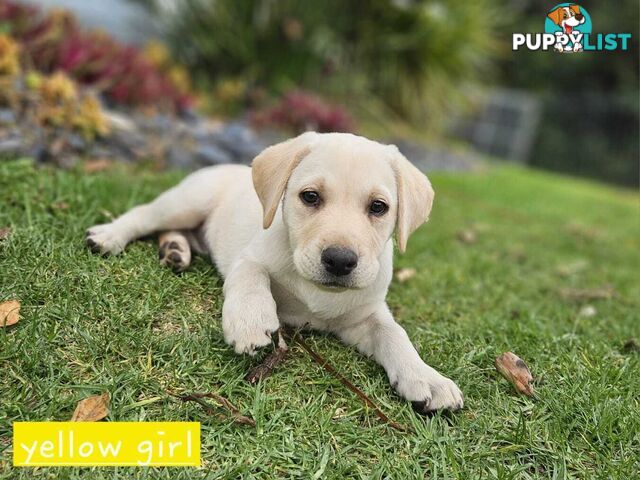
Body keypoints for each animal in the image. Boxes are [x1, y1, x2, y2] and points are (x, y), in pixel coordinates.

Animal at [87, 131, 462, 412]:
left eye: (378, 207)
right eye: (310, 197)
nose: (340, 260)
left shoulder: (366, 314)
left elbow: (394, 334)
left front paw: (427, 377)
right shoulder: (251, 255)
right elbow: (251, 277)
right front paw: (250, 322)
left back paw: (176, 250)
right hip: (185, 202)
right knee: (144, 215)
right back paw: (109, 235)